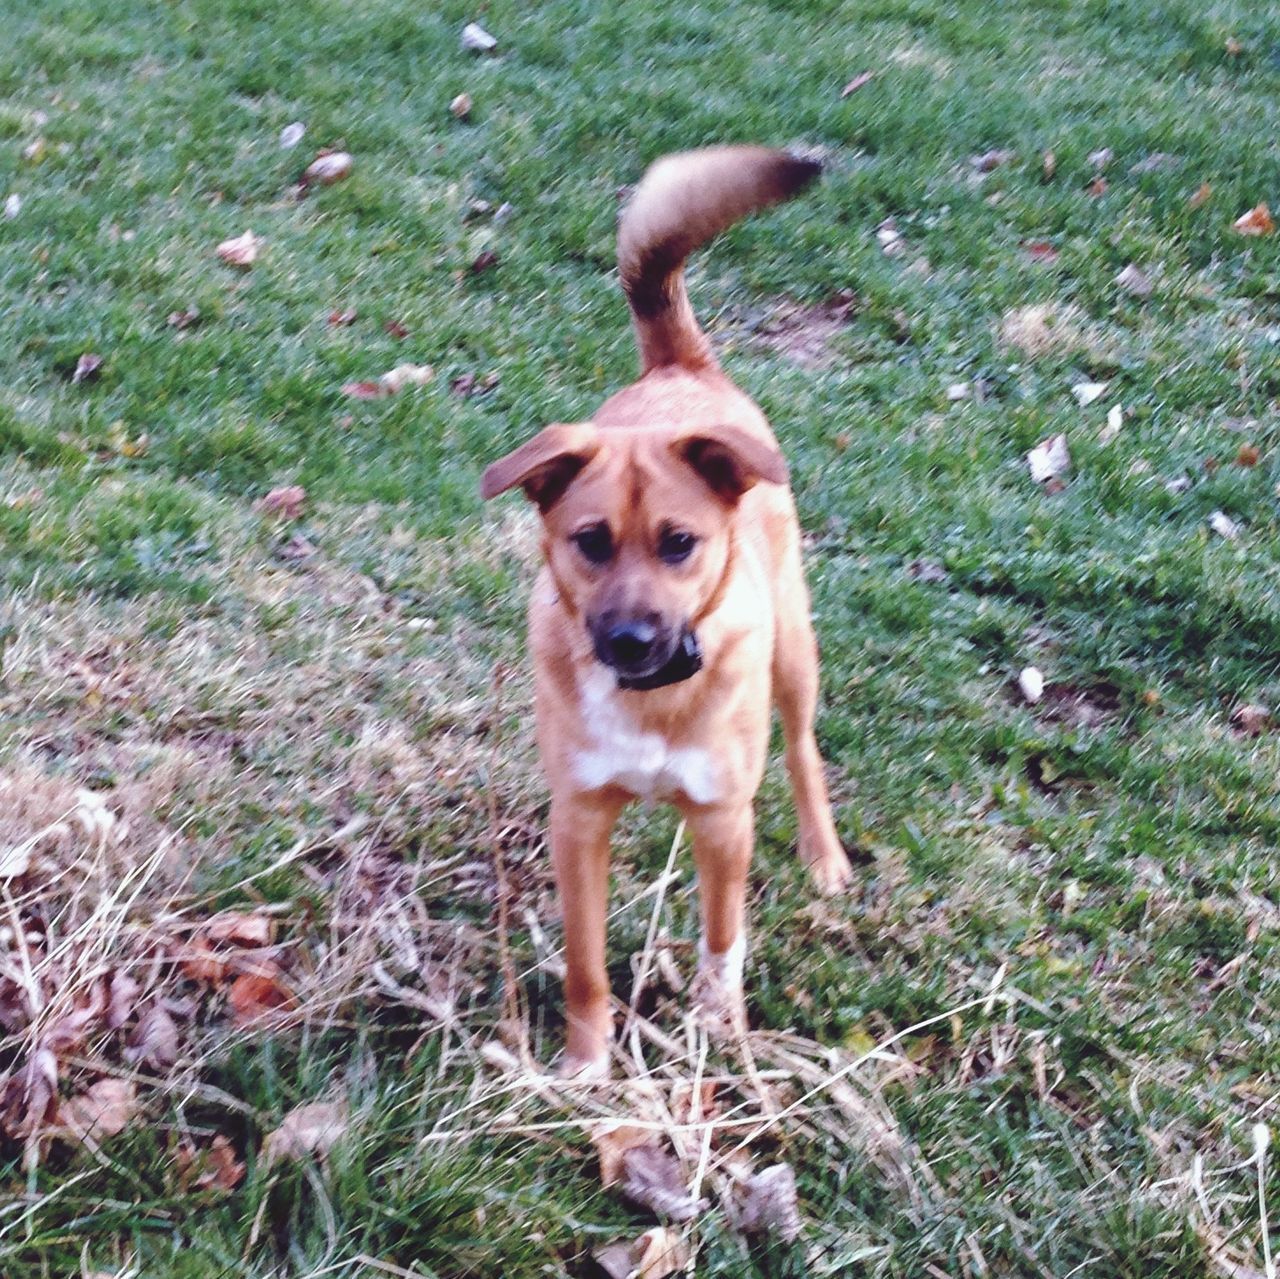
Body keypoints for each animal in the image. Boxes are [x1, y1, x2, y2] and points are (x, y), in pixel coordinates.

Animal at [481, 145, 849, 1075]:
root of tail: (681, 372)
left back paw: (825, 855)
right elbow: (584, 963)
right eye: (591, 540)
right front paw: (584, 1070)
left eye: (679, 542)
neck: (652, 703)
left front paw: (721, 1034)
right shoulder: (577, 822)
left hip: (794, 650)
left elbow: (723, 941)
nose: (630, 637)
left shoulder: (723, 821)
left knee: (802, 748)